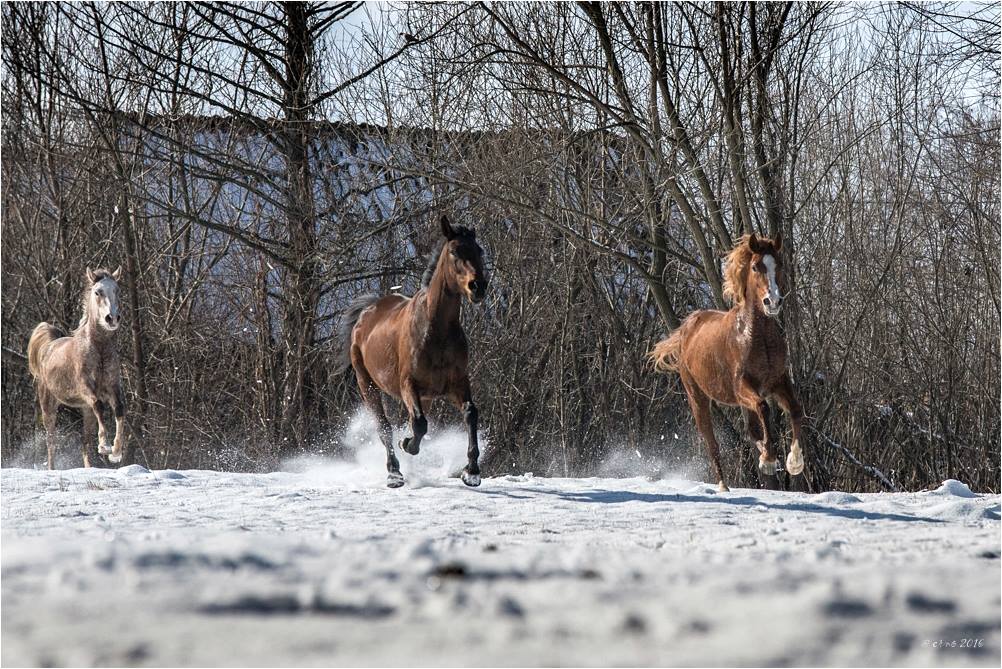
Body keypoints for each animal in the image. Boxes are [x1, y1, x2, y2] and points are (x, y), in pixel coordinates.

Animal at [27, 268, 127, 470]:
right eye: (97, 292)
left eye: (117, 290)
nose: (112, 319)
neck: (99, 350)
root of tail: (48, 346)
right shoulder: (85, 389)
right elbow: (99, 405)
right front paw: (105, 446)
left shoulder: (113, 388)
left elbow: (119, 410)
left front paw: (116, 453)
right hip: (48, 406)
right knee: (51, 441)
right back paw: (51, 469)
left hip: (85, 411)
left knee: (85, 441)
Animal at [336, 217, 488, 488]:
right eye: (454, 251)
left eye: (479, 251)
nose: (478, 286)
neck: (434, 330)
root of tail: (366, 312)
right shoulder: (408, 384)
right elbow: (418, 423)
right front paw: (406, 443)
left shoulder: (456, 383)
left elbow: (470, 413)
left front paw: (471, 472)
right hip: (368, 386)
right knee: (384, 427)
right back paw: (394, 473)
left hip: (424, 395)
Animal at [649, 235, 805, 490]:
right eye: (756, 267)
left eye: (779, 264)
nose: (773, 301)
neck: (757, 336)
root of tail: (687, 328)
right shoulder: (741, 387)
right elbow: (764, 408)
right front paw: (770, 460)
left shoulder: (777, 382)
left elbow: (795, 409)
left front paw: (793, 462)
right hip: (698, 398)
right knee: (711, 442)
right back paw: (724, 484)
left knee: (752, 430)